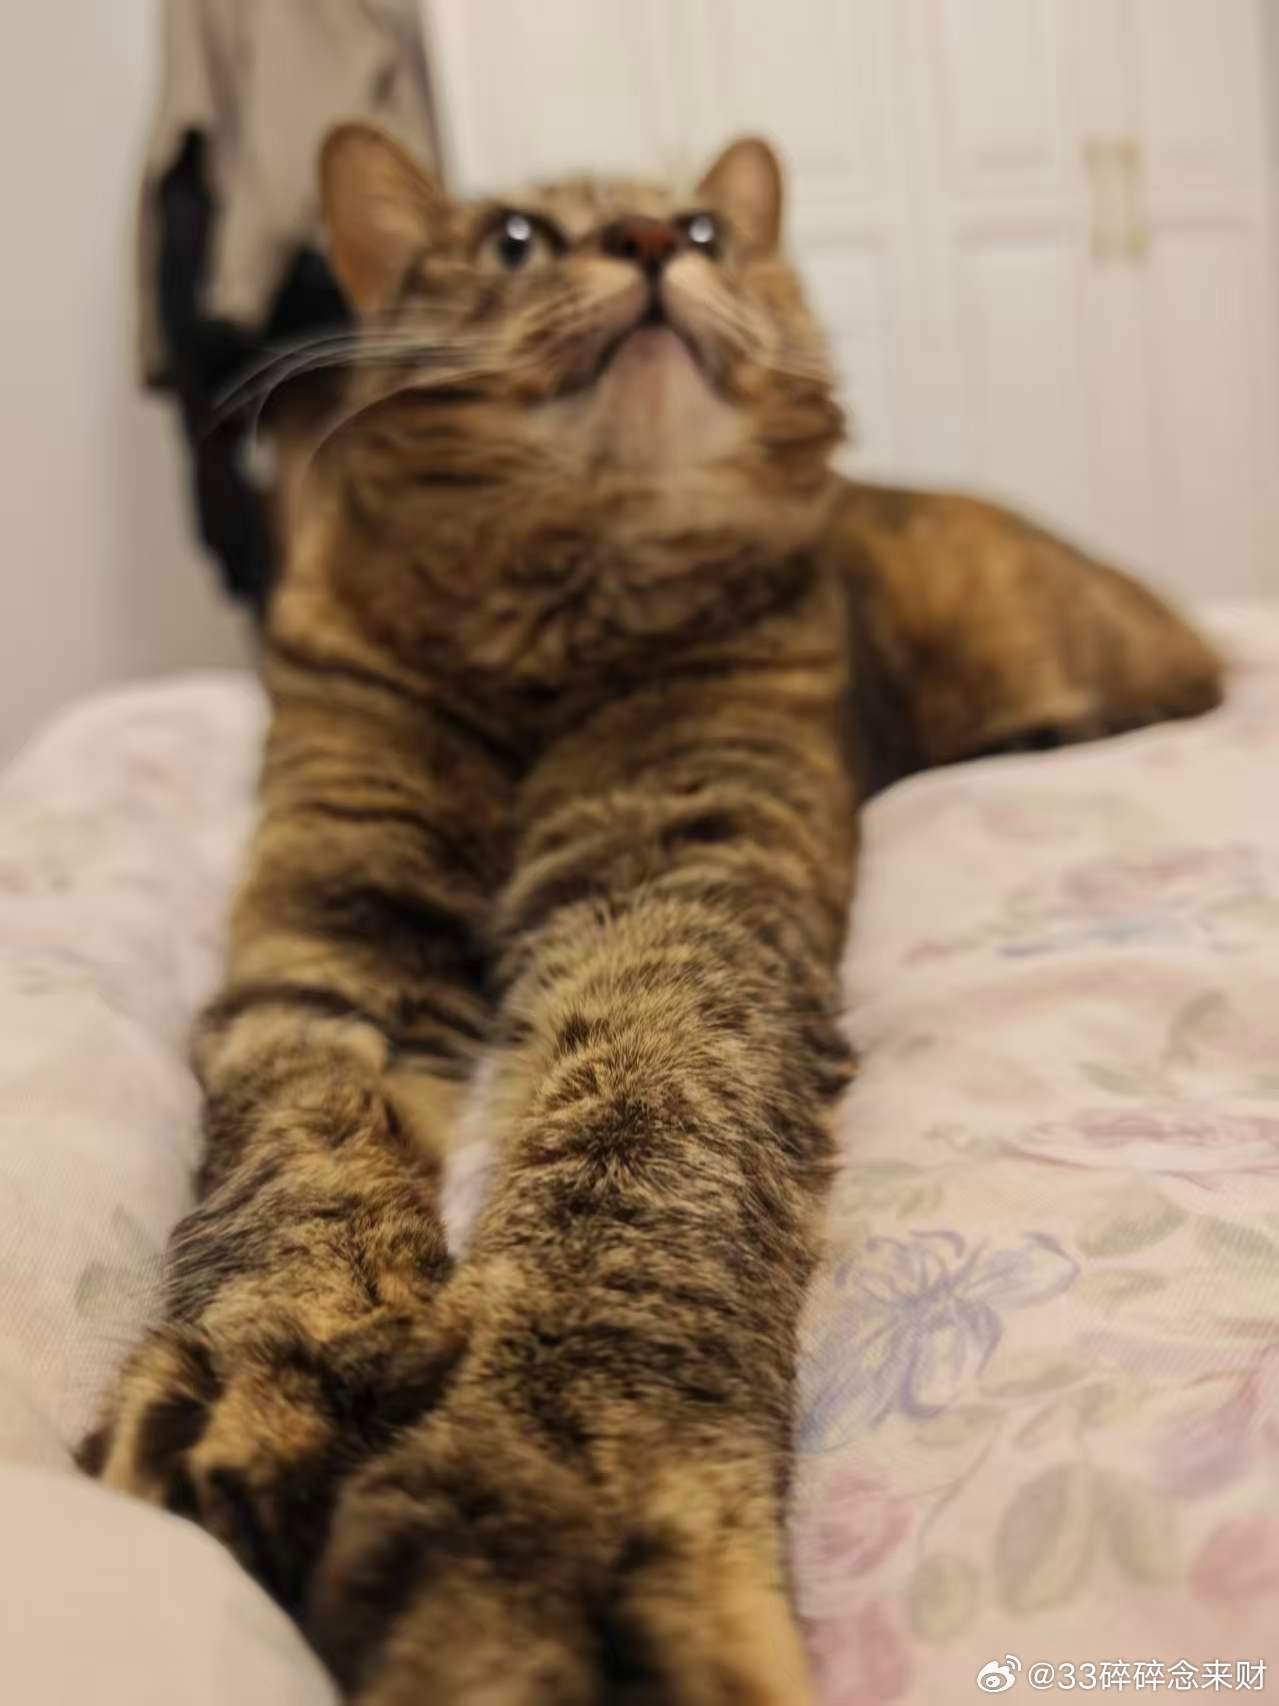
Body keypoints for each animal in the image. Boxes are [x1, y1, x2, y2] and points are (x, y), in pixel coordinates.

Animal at [80, 127, 1221, 1704]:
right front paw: (267, 1376)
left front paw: (547, 1527)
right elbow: (294, 1159)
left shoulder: (681, 902)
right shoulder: (329, 943)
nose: (643, 242)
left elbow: (631, 1179)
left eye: (700, 227)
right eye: (512, 239)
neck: (548, 620)